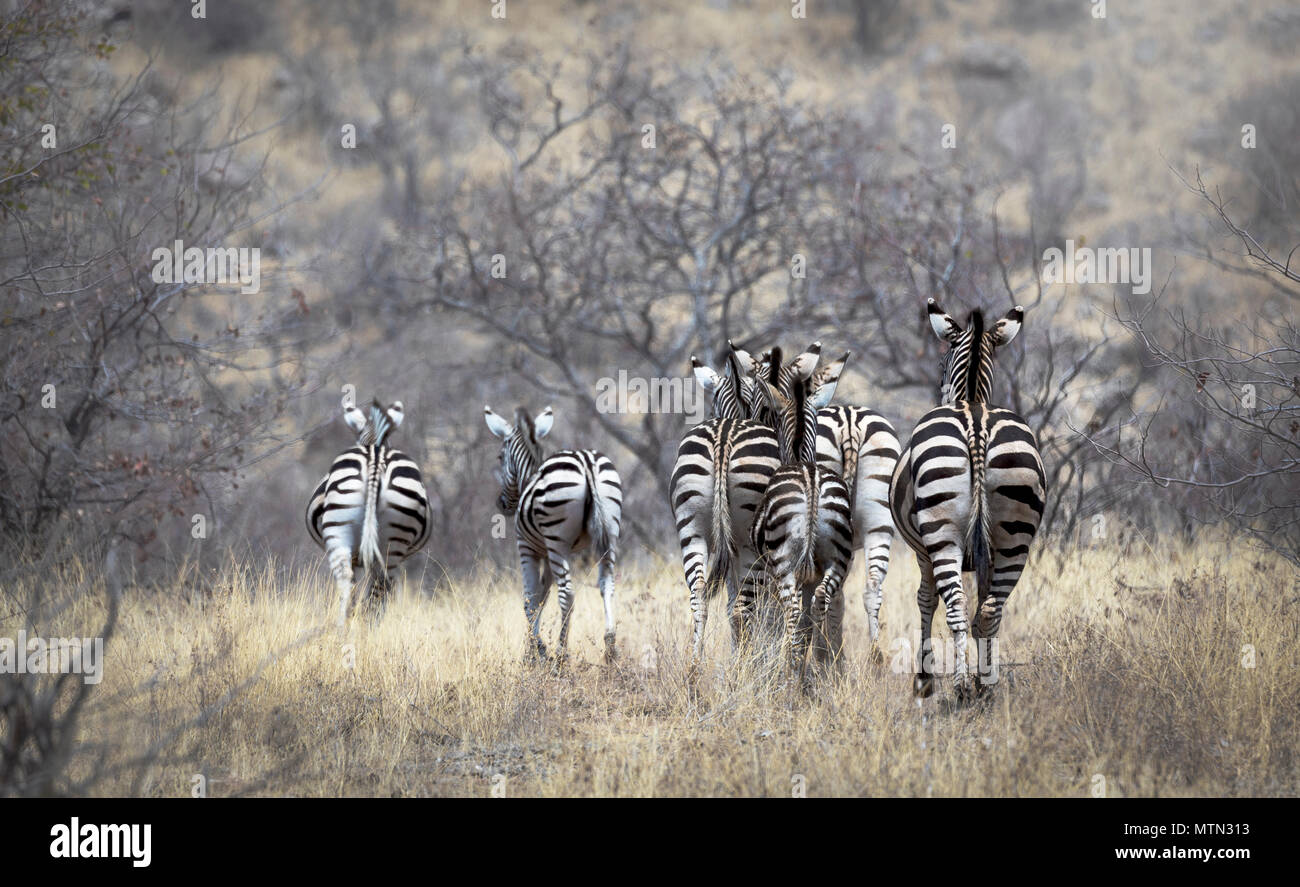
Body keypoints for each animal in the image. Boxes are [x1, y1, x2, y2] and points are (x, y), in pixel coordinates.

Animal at [306, 399, 432, 627]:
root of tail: (375, 461)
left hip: (341, 534)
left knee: (353, 586)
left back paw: (348, 629)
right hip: (393, 541)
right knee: (376, 586)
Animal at [484, 405, 623, 663]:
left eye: (500, 457)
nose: (501, 504)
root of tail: (586, 462)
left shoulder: (528, 548)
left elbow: (530, 599)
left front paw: (536, 650)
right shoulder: (548, 554)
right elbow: (542, 596)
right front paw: (534, 648)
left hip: (558, 542)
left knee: (567, 595)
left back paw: (561, 654)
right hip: (609, 535)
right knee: (607, 583)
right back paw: (610, 647)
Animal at [748, 346, 855, 685]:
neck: (800, 457)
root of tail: (809, 477)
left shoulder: (771, 573)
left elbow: (776, 621)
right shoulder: (812, 575)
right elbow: (808, 622)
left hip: (784, 565)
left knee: (793, 613)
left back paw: (792, 674)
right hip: (836, 560)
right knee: (821, 602)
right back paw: (819, 667)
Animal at [889, 299, 1046, 701]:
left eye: (941, 365)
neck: (972, 397)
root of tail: (976, 422)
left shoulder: (921, 551)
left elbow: (925, 599)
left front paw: (924, 679)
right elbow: (981, 605)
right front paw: (980, 673)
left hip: (942, 534)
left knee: (957, 608)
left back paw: (960, 687)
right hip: (1015, 534)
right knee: (989, 611)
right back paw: (985, 687)